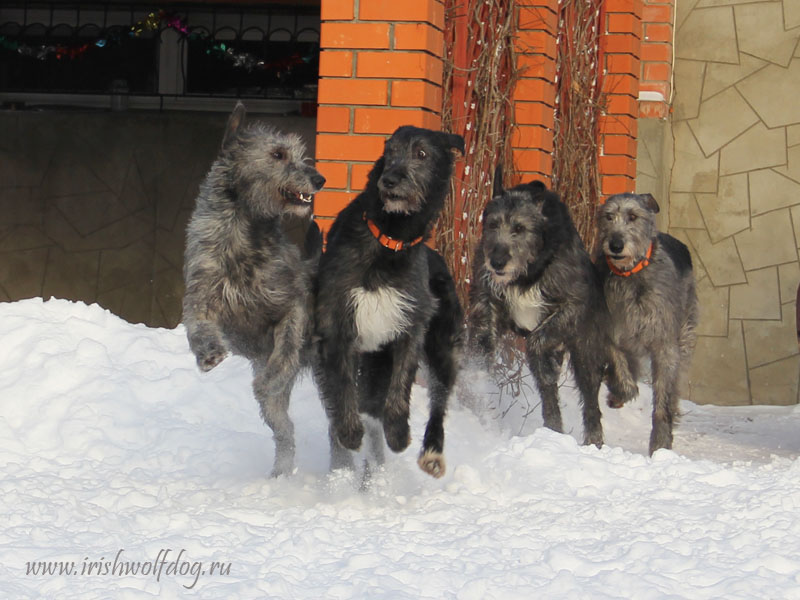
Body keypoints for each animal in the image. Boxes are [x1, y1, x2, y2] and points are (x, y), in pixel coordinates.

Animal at [184, 104, 324, 478]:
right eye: (277, 154)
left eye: (300, 154)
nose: (319, 179)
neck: (241, 235)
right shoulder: (201, 294)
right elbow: (196, 325)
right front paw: (208, 354)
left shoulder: (291, 304)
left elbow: (286, 346)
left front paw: (269, 378)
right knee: (285, 430)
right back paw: (281, 474)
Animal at [310, 125, 462, 478]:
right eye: (389, 149)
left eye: (421, 153)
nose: (389, 180)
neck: (390, 241)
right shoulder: (338, 321)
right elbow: (343, 384)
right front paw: (349, 432)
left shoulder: (410, 325)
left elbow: (401, 386)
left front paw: (398, 432)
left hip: (442, 344)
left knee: (439, 398)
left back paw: (432, 452)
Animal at [596, 192, 696, 454]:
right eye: (608, 216)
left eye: (633, 216)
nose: (615, 245)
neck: (631, 275)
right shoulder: (611, 328)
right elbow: (621, 369)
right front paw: (619, 391)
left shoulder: (664, 341)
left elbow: (662, 395)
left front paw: (660, 443)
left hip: (685, 329)